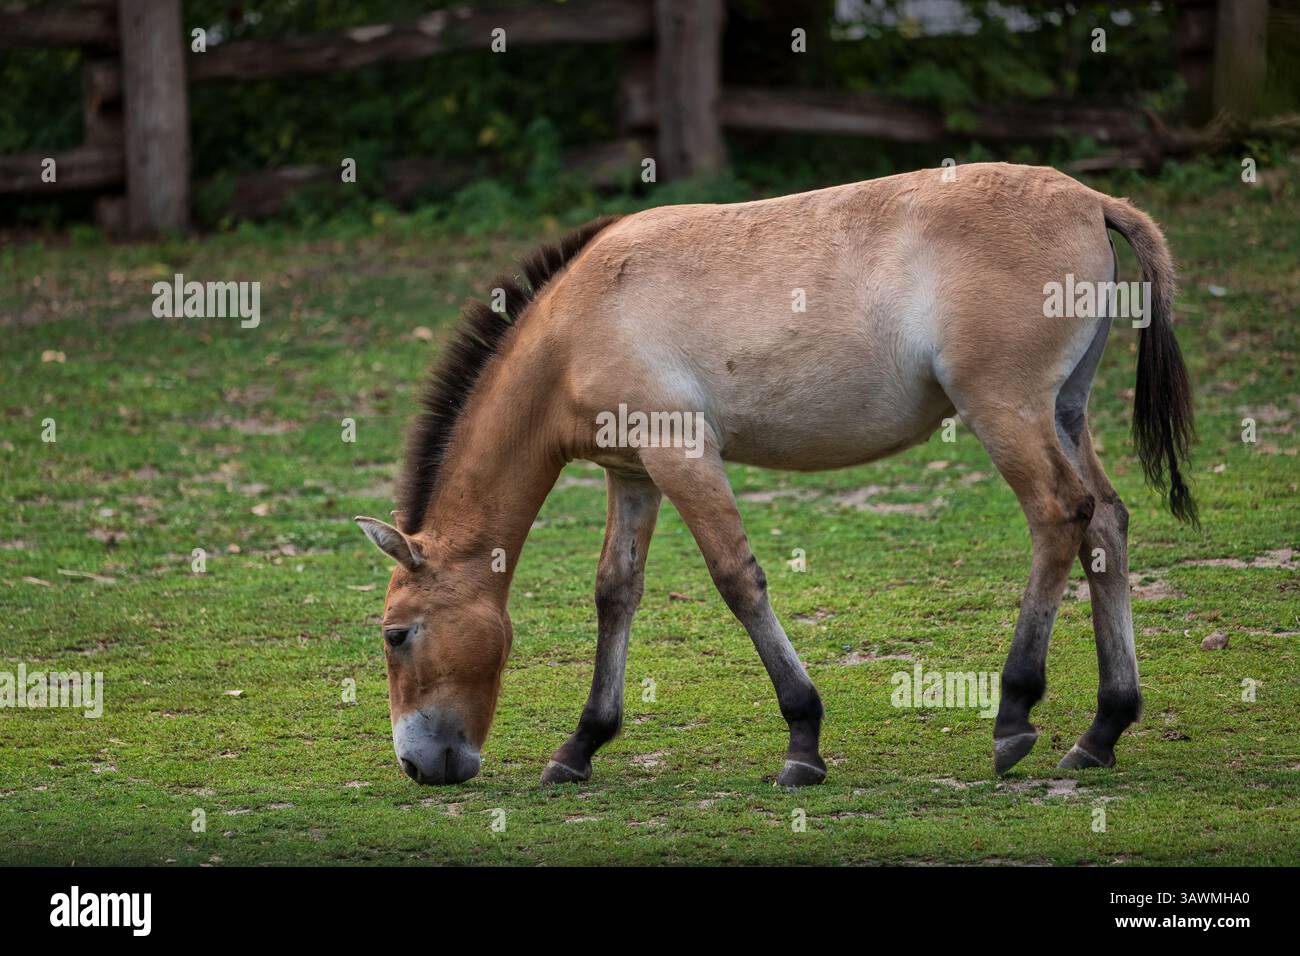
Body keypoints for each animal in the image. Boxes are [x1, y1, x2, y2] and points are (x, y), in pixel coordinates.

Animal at [355, 162, 1195, 786]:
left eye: (398, 635)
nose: (418, 765)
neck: (581, 320)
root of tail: (1090, 201)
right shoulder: (634, 474)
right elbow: (615, 594)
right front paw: (582, 745)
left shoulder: (683, 454)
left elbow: (737, 579)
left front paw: (803, 739)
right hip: (1064, 412)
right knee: (1106, 523)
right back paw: (1103, 728)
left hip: (1005, 411)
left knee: (1059, 514)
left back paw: (1015, 714)